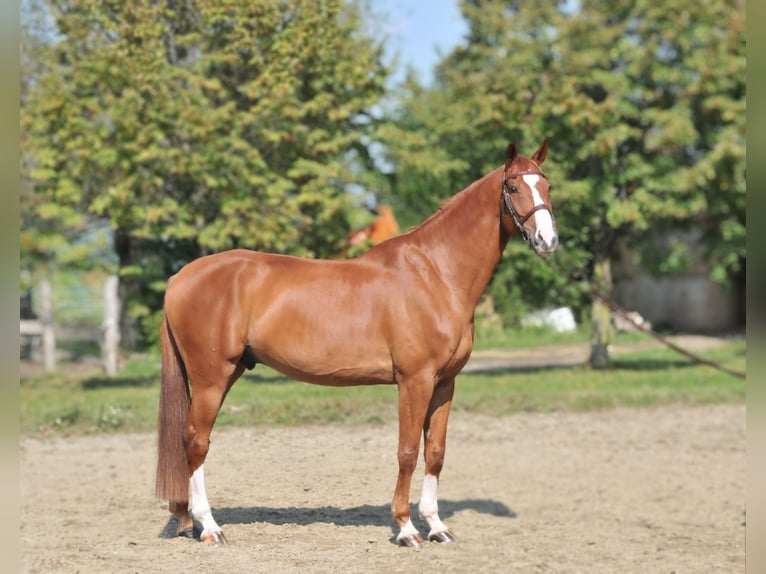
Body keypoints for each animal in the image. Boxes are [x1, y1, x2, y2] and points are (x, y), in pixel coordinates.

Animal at [158, 140, 560, 548]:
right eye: (512, 187)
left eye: (547, 186)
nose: (548, 240)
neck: (434, 273)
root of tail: (181, 276)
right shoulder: (414, 381)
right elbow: (407, 451)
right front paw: (406, 529)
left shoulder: (444, 383)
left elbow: (435, 452)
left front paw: (437, 526)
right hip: (211, 378)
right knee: (196, 441)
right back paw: (209, 527)